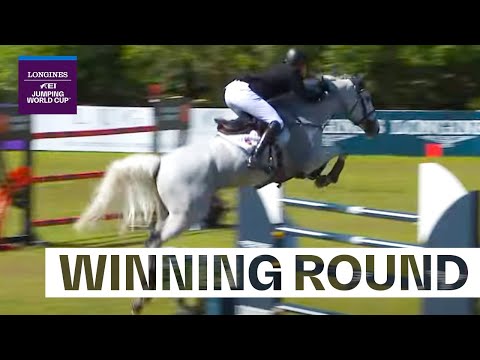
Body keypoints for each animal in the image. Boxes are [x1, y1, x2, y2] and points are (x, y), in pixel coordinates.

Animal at [73, 74, 378, 316]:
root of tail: (162, 163)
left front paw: (322, 177)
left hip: (169, 213)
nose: (375, 127)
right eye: (366, 98)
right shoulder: (308, 157)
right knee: (154, 241)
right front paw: (328, 177)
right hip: (185, 215)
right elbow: (340, 148)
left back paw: (149, 297)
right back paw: (144, 297)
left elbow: (337, 151)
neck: (305, 116)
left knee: (155, 244)